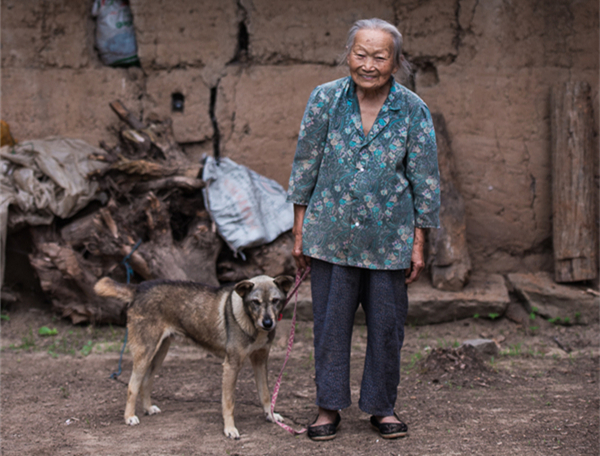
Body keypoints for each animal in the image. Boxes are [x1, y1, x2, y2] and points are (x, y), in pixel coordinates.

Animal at [93, 274, 296, 438]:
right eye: (256, 302)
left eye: (275, 300)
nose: (268, 323)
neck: (251, 321)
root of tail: (139, 288)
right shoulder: (231, 365)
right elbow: (229, 403)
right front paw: (230, 429)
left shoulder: (260, 361)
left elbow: (266, 394)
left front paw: (270, 416)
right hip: (146, 352)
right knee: (132, 385)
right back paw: (129, 417)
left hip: (159, 354)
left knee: (146, 381)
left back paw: (148, 408)